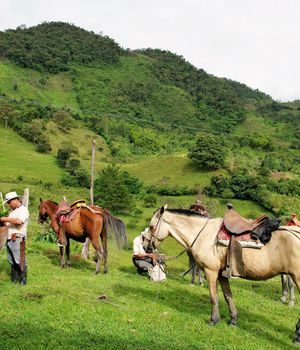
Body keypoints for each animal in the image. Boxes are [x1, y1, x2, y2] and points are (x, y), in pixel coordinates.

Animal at [150, 206, 300, 344]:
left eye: (151, 227)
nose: (149, 247)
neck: (204, 235)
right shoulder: (222, 274)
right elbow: (228, 296)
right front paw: (233, 320)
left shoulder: (211, 271)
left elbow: (213, 297)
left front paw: (213, 320)